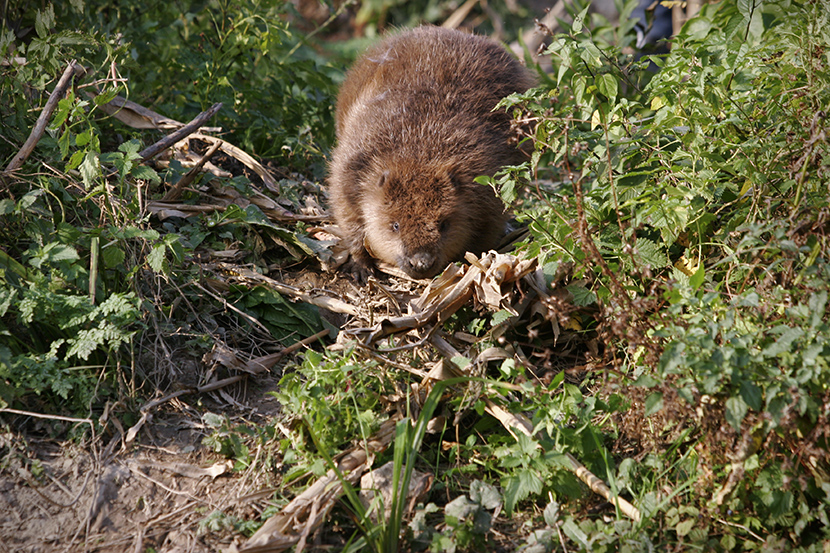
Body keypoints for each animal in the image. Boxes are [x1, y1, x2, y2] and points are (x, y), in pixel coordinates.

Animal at [328, 24, 536, 280]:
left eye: (444, 224)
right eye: (395, 225)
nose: (420, 263)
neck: (418, 150)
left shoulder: (489, 184)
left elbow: (489, 227)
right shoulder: (353, 164)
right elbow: (346, 213)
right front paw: (360, 268)